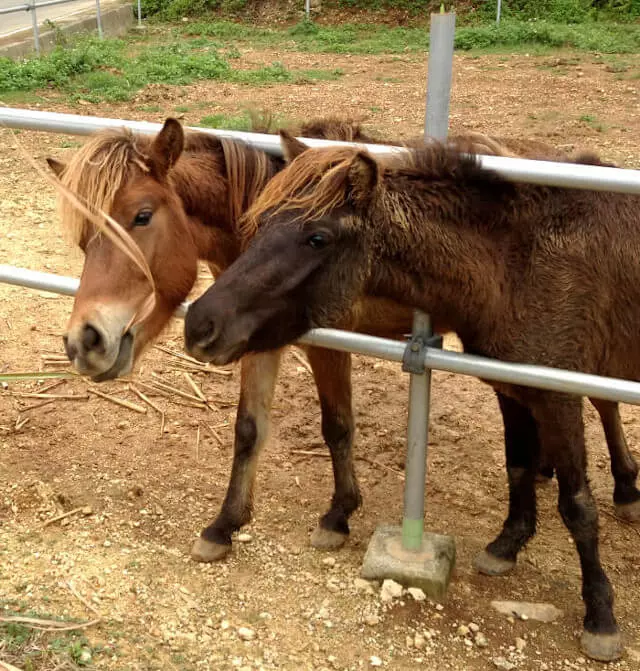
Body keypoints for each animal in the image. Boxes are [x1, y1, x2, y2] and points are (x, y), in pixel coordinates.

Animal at [50, 117, 639, 573]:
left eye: (142, 216)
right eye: (82, 238)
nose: (86, 340)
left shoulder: (321, 341)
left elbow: (336, 425)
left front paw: (338, 515)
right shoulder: (254, 339)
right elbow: (248, 430)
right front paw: (224, 525)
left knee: (603, 400)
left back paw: (626, 488)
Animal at [183, 134, 640, 661]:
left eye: (317, 238)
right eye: (257, 223)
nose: (199, 324)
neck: (516, 266)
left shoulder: (558, 396)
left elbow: (579, 506)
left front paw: (600, 615)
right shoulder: (512, 388)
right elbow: (518, 467)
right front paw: (507, 545)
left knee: (607, 408)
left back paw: (627, 490)